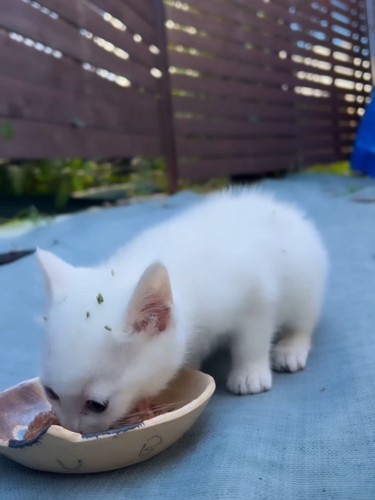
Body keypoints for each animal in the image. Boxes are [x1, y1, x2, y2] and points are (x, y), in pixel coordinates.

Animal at [36, 188, 328, 434]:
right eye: (50, 392)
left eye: (97, 405)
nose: (71, 428)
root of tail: (280, 207)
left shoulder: (257, 296)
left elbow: (252, 340)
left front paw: (249, 373)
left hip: (305, 280)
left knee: (303, 320)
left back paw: (290, 349)